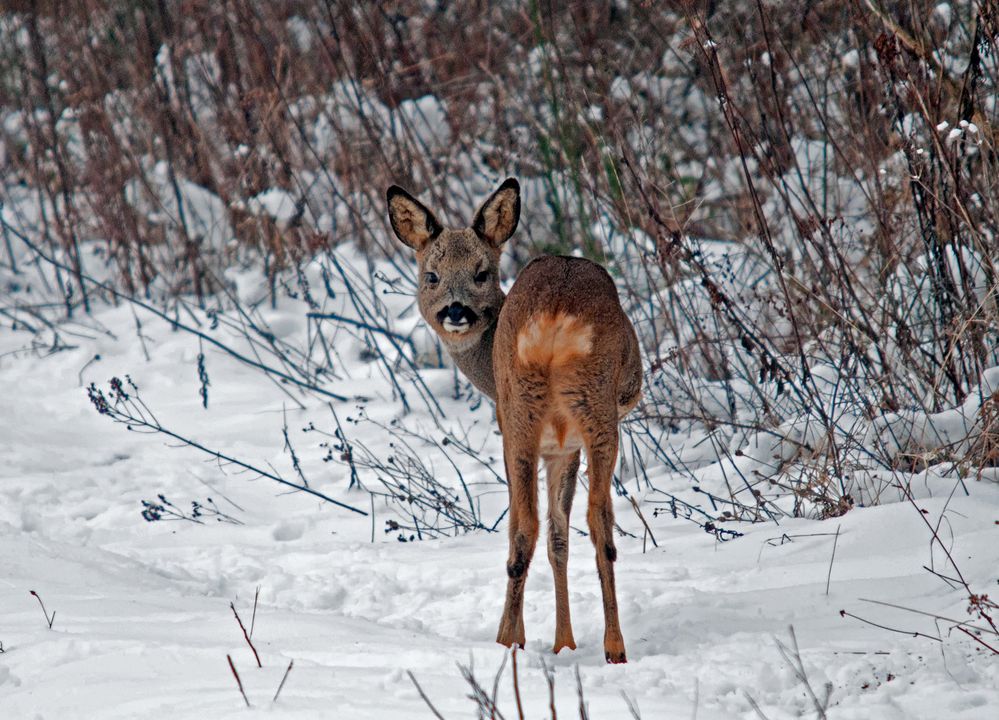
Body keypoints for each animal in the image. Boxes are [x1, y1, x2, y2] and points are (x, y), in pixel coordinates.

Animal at [386, 177, 644, 660]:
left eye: (481, 272)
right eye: (431, 275)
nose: (455, 311)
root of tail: (555, 319)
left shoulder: (537, 438)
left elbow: (541, 530)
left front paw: (551, 640)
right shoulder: (562, 445)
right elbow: (559, 535)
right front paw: (564, 644)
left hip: (524, 416)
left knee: (529, 528)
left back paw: (510, 640)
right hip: (589, 415)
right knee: (594, 523)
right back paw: (610, 647)